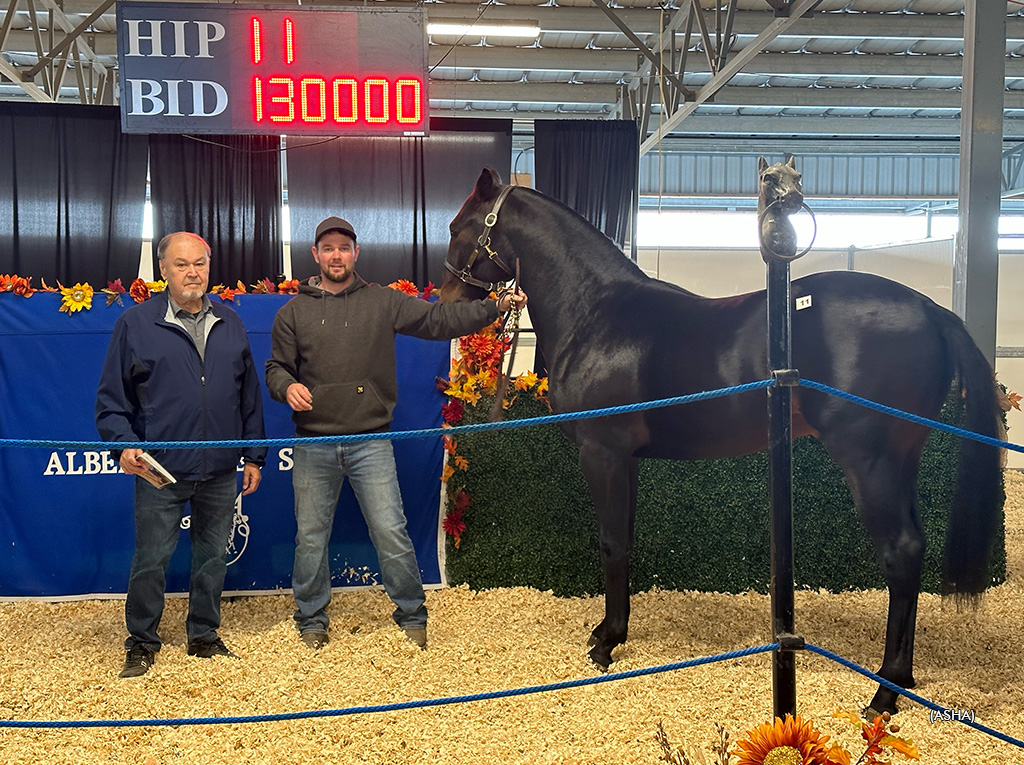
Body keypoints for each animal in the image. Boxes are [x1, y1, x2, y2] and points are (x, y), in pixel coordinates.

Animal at [440, 164, 999, 716]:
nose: (444, 299)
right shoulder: (628, 459)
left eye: (456, 227)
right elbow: (625, 538)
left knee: (901, 552)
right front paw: (609, 630)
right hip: (903, 459)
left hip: (870, 462)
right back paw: (901, 680)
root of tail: (931, 310)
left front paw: (606, 642)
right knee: (915, 547)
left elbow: (611, 542)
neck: (596, 313)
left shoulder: (603, 452)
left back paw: (884, 694)